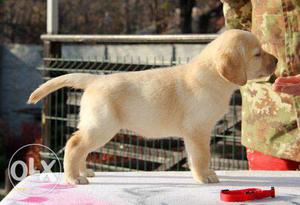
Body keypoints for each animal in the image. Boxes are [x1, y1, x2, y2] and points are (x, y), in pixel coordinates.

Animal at [27, 29, 276, 185]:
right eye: (257, 54)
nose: (276, 61)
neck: (212, 76)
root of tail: (94, 80)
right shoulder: (197, 130)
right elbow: (201, 156)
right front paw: (205, 176)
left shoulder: (195, 132)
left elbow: (196, 156)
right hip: (102, 126)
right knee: (74, 144)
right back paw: (73, 177)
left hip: (96, 127)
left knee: (81, 147)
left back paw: (83, 171)